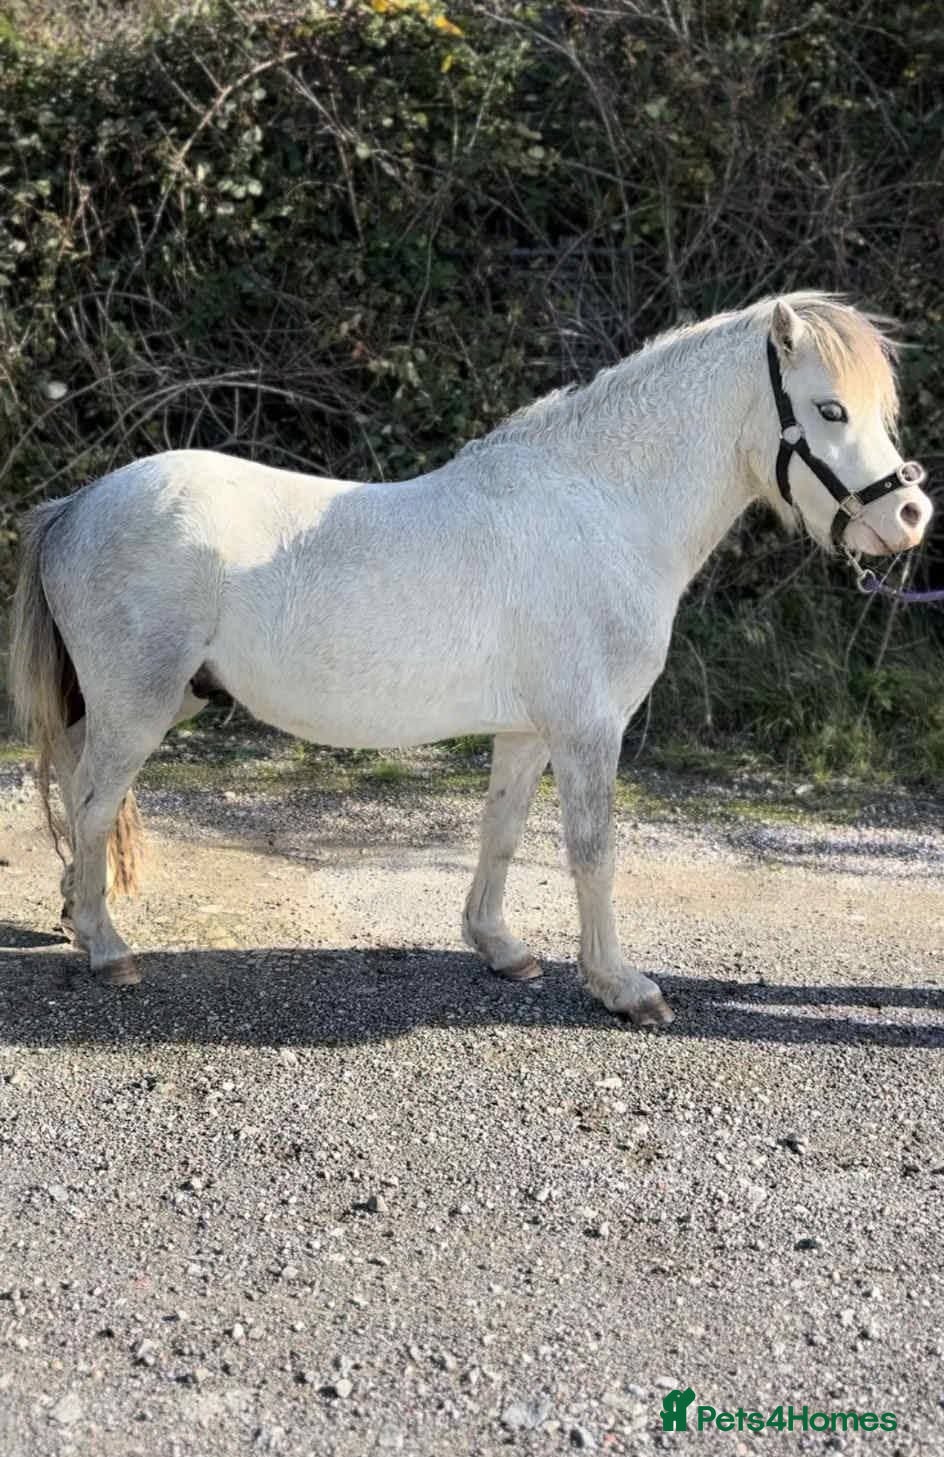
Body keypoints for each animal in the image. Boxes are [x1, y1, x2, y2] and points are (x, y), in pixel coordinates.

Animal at [9, 293, 932, 1026]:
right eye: (829, 410)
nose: (910, 517)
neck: (601, 509)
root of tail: (77, 503)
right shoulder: (588, 728)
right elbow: (592, 850)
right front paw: (622, 986)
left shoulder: (527, 732)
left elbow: (502, 832)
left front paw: (500, 947)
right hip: (140, 705)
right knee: (93, 804)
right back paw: (107, 948)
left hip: (157, 701)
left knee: (78, 792)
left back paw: (76, 914)